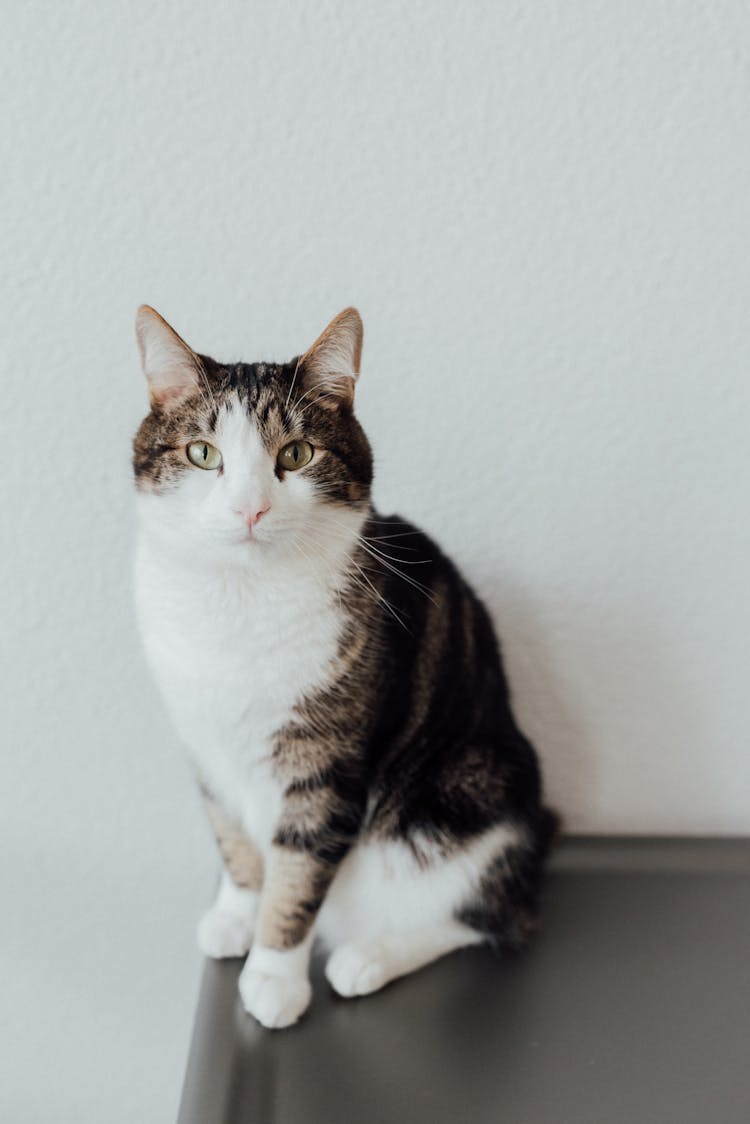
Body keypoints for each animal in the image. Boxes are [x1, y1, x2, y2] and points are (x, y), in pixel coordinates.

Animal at [133, 305, 557, 1029]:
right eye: (202, 454)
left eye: (296, 455)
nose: (250, 509)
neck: (237, 602)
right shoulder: (207, 750)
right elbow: (235, 843)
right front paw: (237, 915)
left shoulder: (326, 766)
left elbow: (298, 873)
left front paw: (273, 976)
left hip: (471, 793)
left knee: (496, 916)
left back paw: (368, 956)